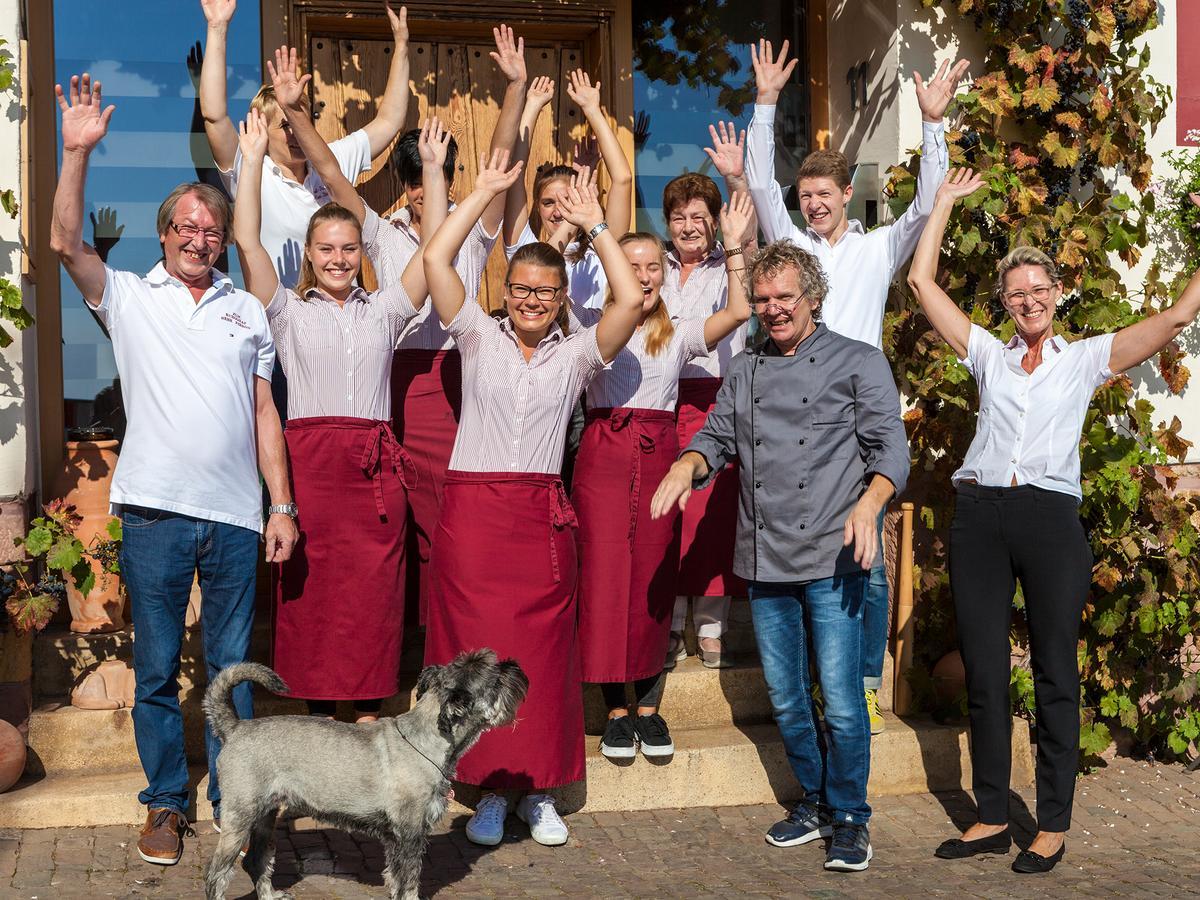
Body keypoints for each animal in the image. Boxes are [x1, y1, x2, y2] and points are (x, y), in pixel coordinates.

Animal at [201, 652, 525, 900]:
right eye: (493, 676)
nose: (514, 666)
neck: (425, 740)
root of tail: (236, 728)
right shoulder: (410, 834)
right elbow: (409, 881)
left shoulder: (395, 839)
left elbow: (395, 879)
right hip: (238, 819)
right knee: (217, 874)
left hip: (265, 819)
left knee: (257, 861)